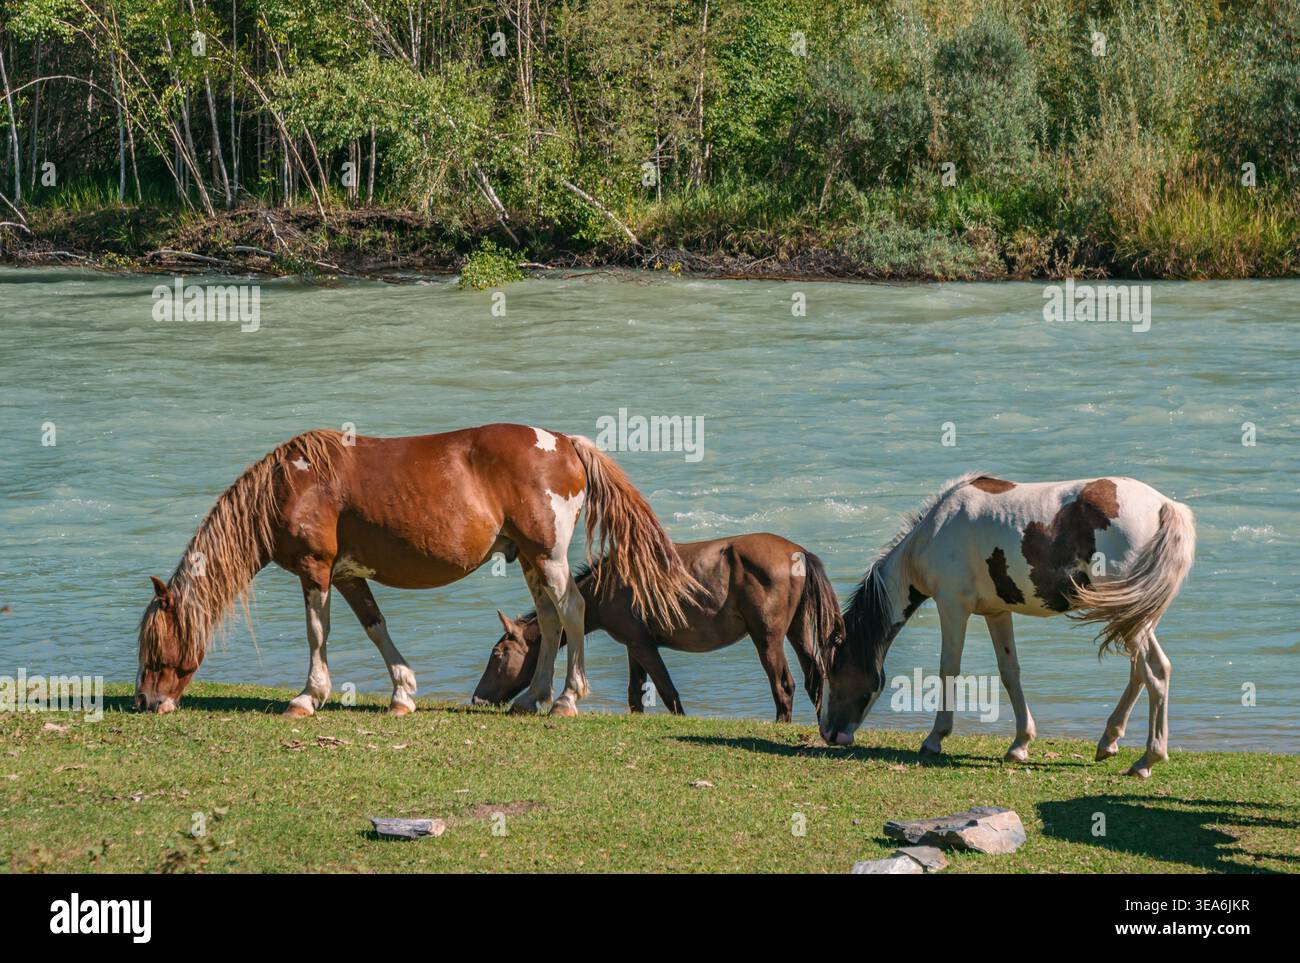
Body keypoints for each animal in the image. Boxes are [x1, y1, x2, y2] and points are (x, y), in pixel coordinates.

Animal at [136, 424, 698, 718]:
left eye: (157, 646)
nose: (145, 700)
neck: (292, 483)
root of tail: (562, 441)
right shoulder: (347, 574)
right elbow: (375, 627)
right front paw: (402, 693)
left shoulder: (317, 569)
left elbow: (318, 632)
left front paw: (308, 697)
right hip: (531, 560)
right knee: (550, 619)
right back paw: (531, 698)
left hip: (549, 557)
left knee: (573, 612)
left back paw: (565, 699)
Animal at [472, 533, 843, 721]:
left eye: (499, 653)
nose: (477, 698)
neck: (608, 585)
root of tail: (799, 552)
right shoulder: (634, 646)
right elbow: (635, 693)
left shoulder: (643, 645)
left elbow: (668, 693)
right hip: (796, 631)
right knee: (813, 680)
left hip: (767, 637)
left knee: (784, 686)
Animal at [818, 472, 1195, 778]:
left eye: (834, 672)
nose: (829, 733)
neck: (935, 531)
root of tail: (1163, 506)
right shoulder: (997, 613)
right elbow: (1009, 671)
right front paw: (1020, 744)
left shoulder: (952, 607)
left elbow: (948, 669)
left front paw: (935, 739)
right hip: (1135, 615)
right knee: (1142, 672)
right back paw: (1109, 741)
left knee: (1156, 672)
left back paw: (1147, 760)